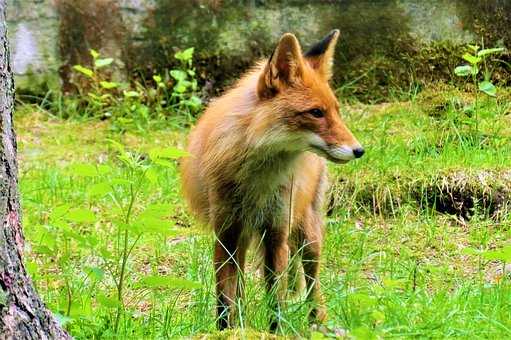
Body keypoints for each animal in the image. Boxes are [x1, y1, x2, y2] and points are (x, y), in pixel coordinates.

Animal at [180, 30, 364, 330]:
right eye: (316, 112)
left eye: (337, 110)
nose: (359, 150)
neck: (257, 181)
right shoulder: (226, 232)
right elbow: (224, 299)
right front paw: (227, 331)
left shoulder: (276, 233)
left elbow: (276, 302)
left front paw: (277, 332)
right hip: (245, 236)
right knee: (240, 286)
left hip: (307, 234)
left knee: (312, 282)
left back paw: (318, 323)